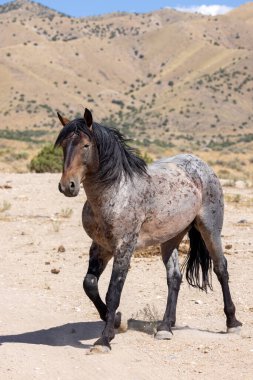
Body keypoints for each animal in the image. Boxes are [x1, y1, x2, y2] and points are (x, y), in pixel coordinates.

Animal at [54, 108, 241, 352]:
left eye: (86, 145)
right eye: (64, 145)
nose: (68, 186)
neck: (116, 192)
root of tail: (200, 163)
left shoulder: (124, 247)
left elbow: (113, 293)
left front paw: (104, 339)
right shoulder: (101, 247)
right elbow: (90, 284)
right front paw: (117, 322)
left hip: (210, 229)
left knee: (221, 269)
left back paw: (232, 323)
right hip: (171, 238)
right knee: (174, 277)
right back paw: (165, 327)